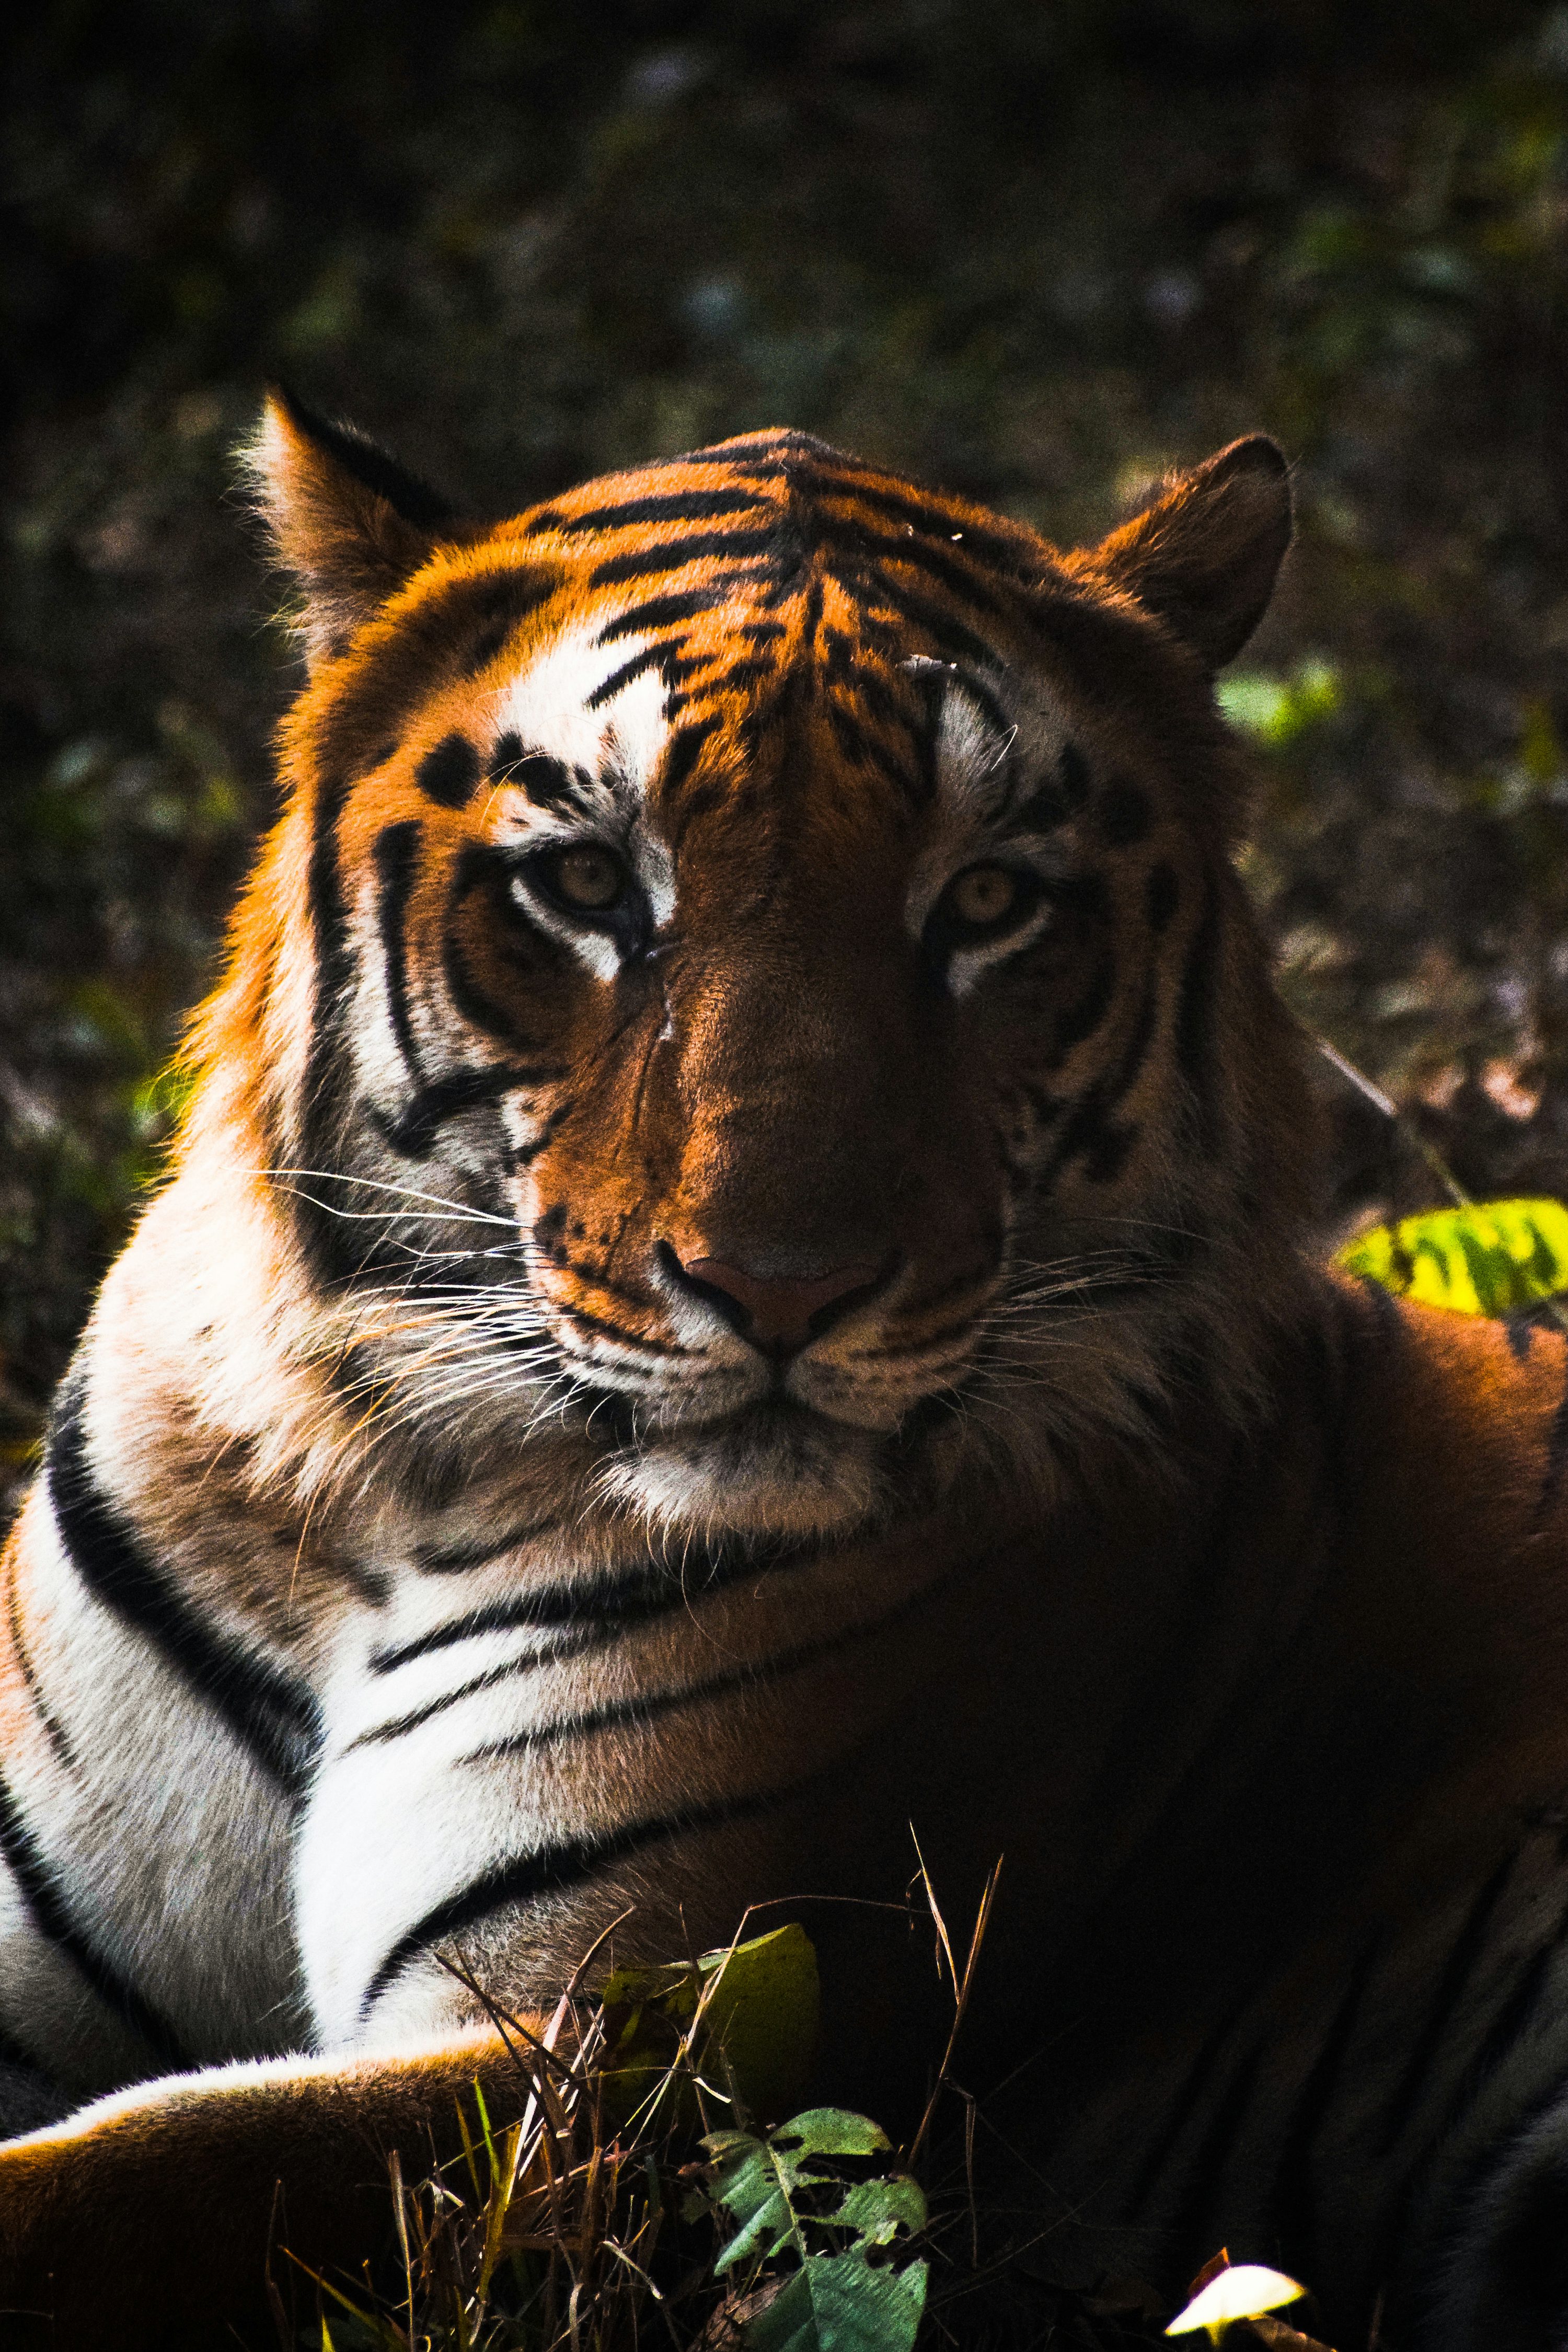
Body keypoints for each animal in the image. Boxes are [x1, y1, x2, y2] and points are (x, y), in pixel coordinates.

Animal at [4, 392, 1568, 2351]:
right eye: (587, 882)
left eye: (988, 901)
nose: (784, 1290)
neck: (373, 1487)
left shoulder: (626, 2042)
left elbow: (123, 2186)